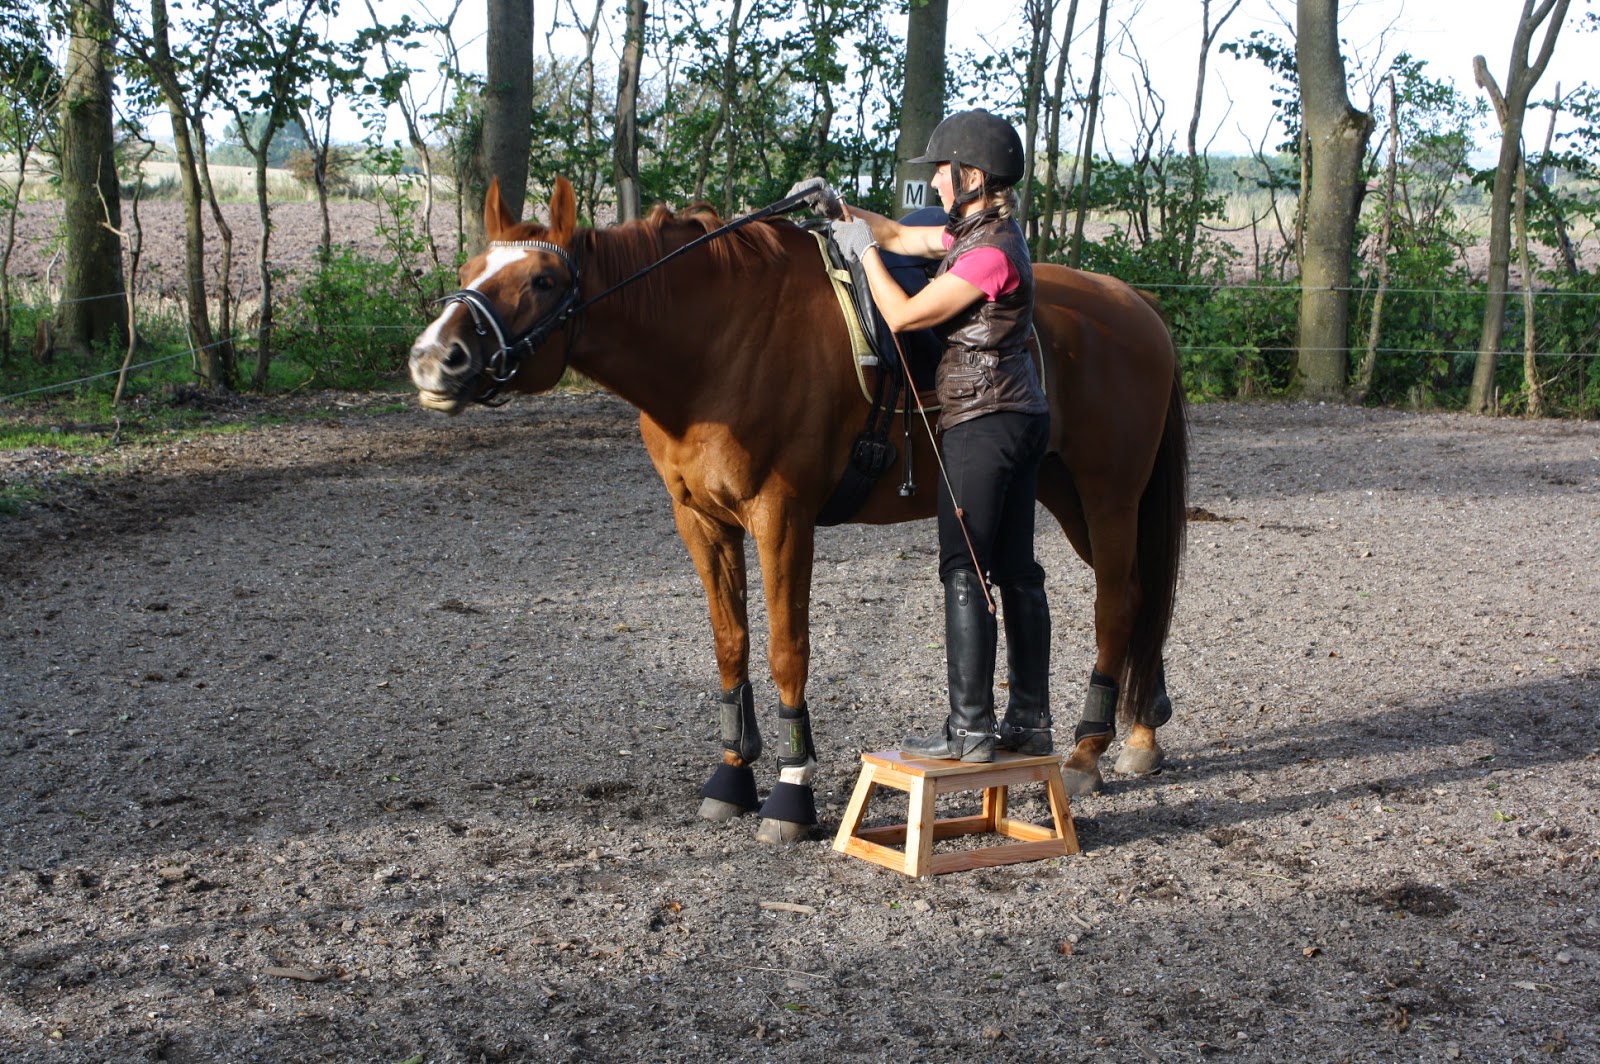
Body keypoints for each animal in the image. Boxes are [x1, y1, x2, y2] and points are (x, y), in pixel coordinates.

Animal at [409, 176, 1187, 844]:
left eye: (541, 281)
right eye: (473, 264)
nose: (433, 358)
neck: (716, 346)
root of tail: (1134, 304)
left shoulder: (781, 519)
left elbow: (788, 649)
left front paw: (790, 788)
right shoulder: (701, 522)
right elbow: (731, 644)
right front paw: (730, 777)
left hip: (1107, 495)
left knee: (1118, 602)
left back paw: (1088, 752)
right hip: (1060, 494)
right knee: (1136, 595)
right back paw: (1139, 734)